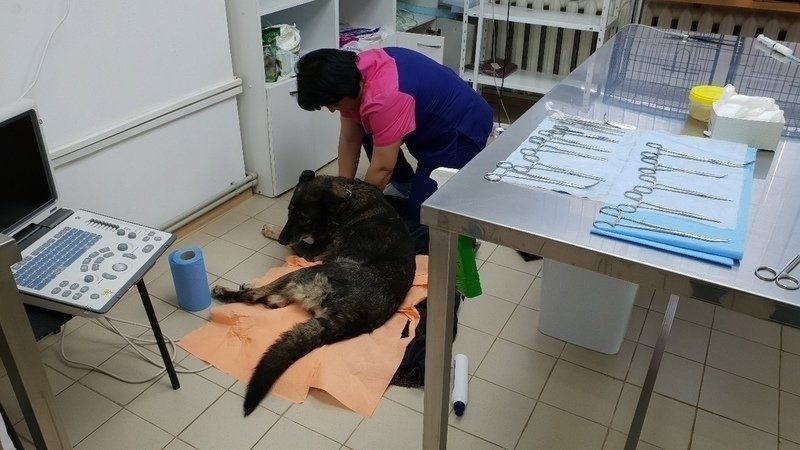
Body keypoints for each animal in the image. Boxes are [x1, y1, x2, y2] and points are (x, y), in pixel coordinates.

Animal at [211, 170, 416, 416]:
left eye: (305, 218)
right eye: (289, 210)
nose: (281, 238)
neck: (345, 202)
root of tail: (354, 314)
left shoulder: (313, 253)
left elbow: (297, 244)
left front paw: (272, 231)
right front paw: (273, 230)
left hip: (304, 271)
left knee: (255, 296)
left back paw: (228, 291)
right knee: (274, 302)